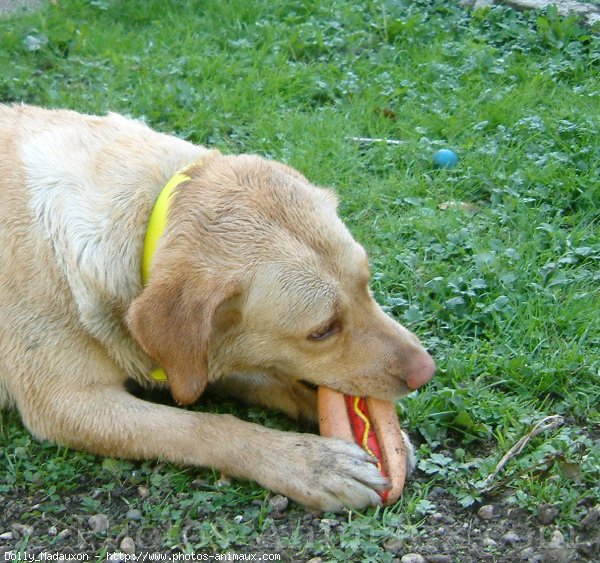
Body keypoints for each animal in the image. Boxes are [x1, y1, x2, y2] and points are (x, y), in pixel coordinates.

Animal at [0, 104, 434, 512]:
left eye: (366, 285)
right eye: (321, 331)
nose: (426, 372)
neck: (143, 222)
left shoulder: (192, 358)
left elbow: (272, 379)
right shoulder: (66, 404)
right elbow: (203, 427)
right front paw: (310, 462)